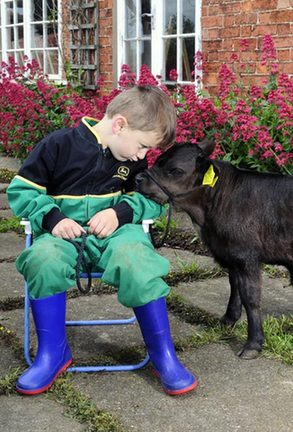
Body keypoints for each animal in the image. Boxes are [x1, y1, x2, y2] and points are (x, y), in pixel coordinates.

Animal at [135, 141, 292, 358]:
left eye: (175, 170)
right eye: (158, 160)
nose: (138, 178)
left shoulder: (247, 257)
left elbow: (251, 297)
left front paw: (252, 344)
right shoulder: (230, 254)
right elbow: (234, 286)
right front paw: (228, 320)